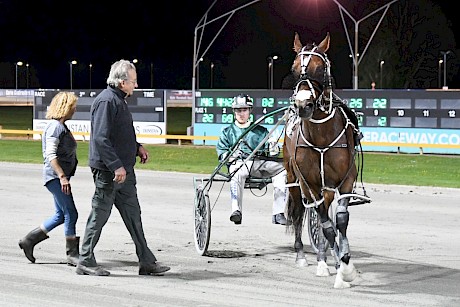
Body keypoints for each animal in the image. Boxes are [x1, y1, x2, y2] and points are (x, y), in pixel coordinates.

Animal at [284, 32, 370, 290]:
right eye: (294, 69)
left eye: (320, 68)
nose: (303, 106)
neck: (322, 137)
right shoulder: (310, 185)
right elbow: (325, 225)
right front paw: (342, 268)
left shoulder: (346, 180)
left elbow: (340, 221)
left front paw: (346, 265)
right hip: (294, 181)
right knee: (300, 214)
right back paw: (310, 257)